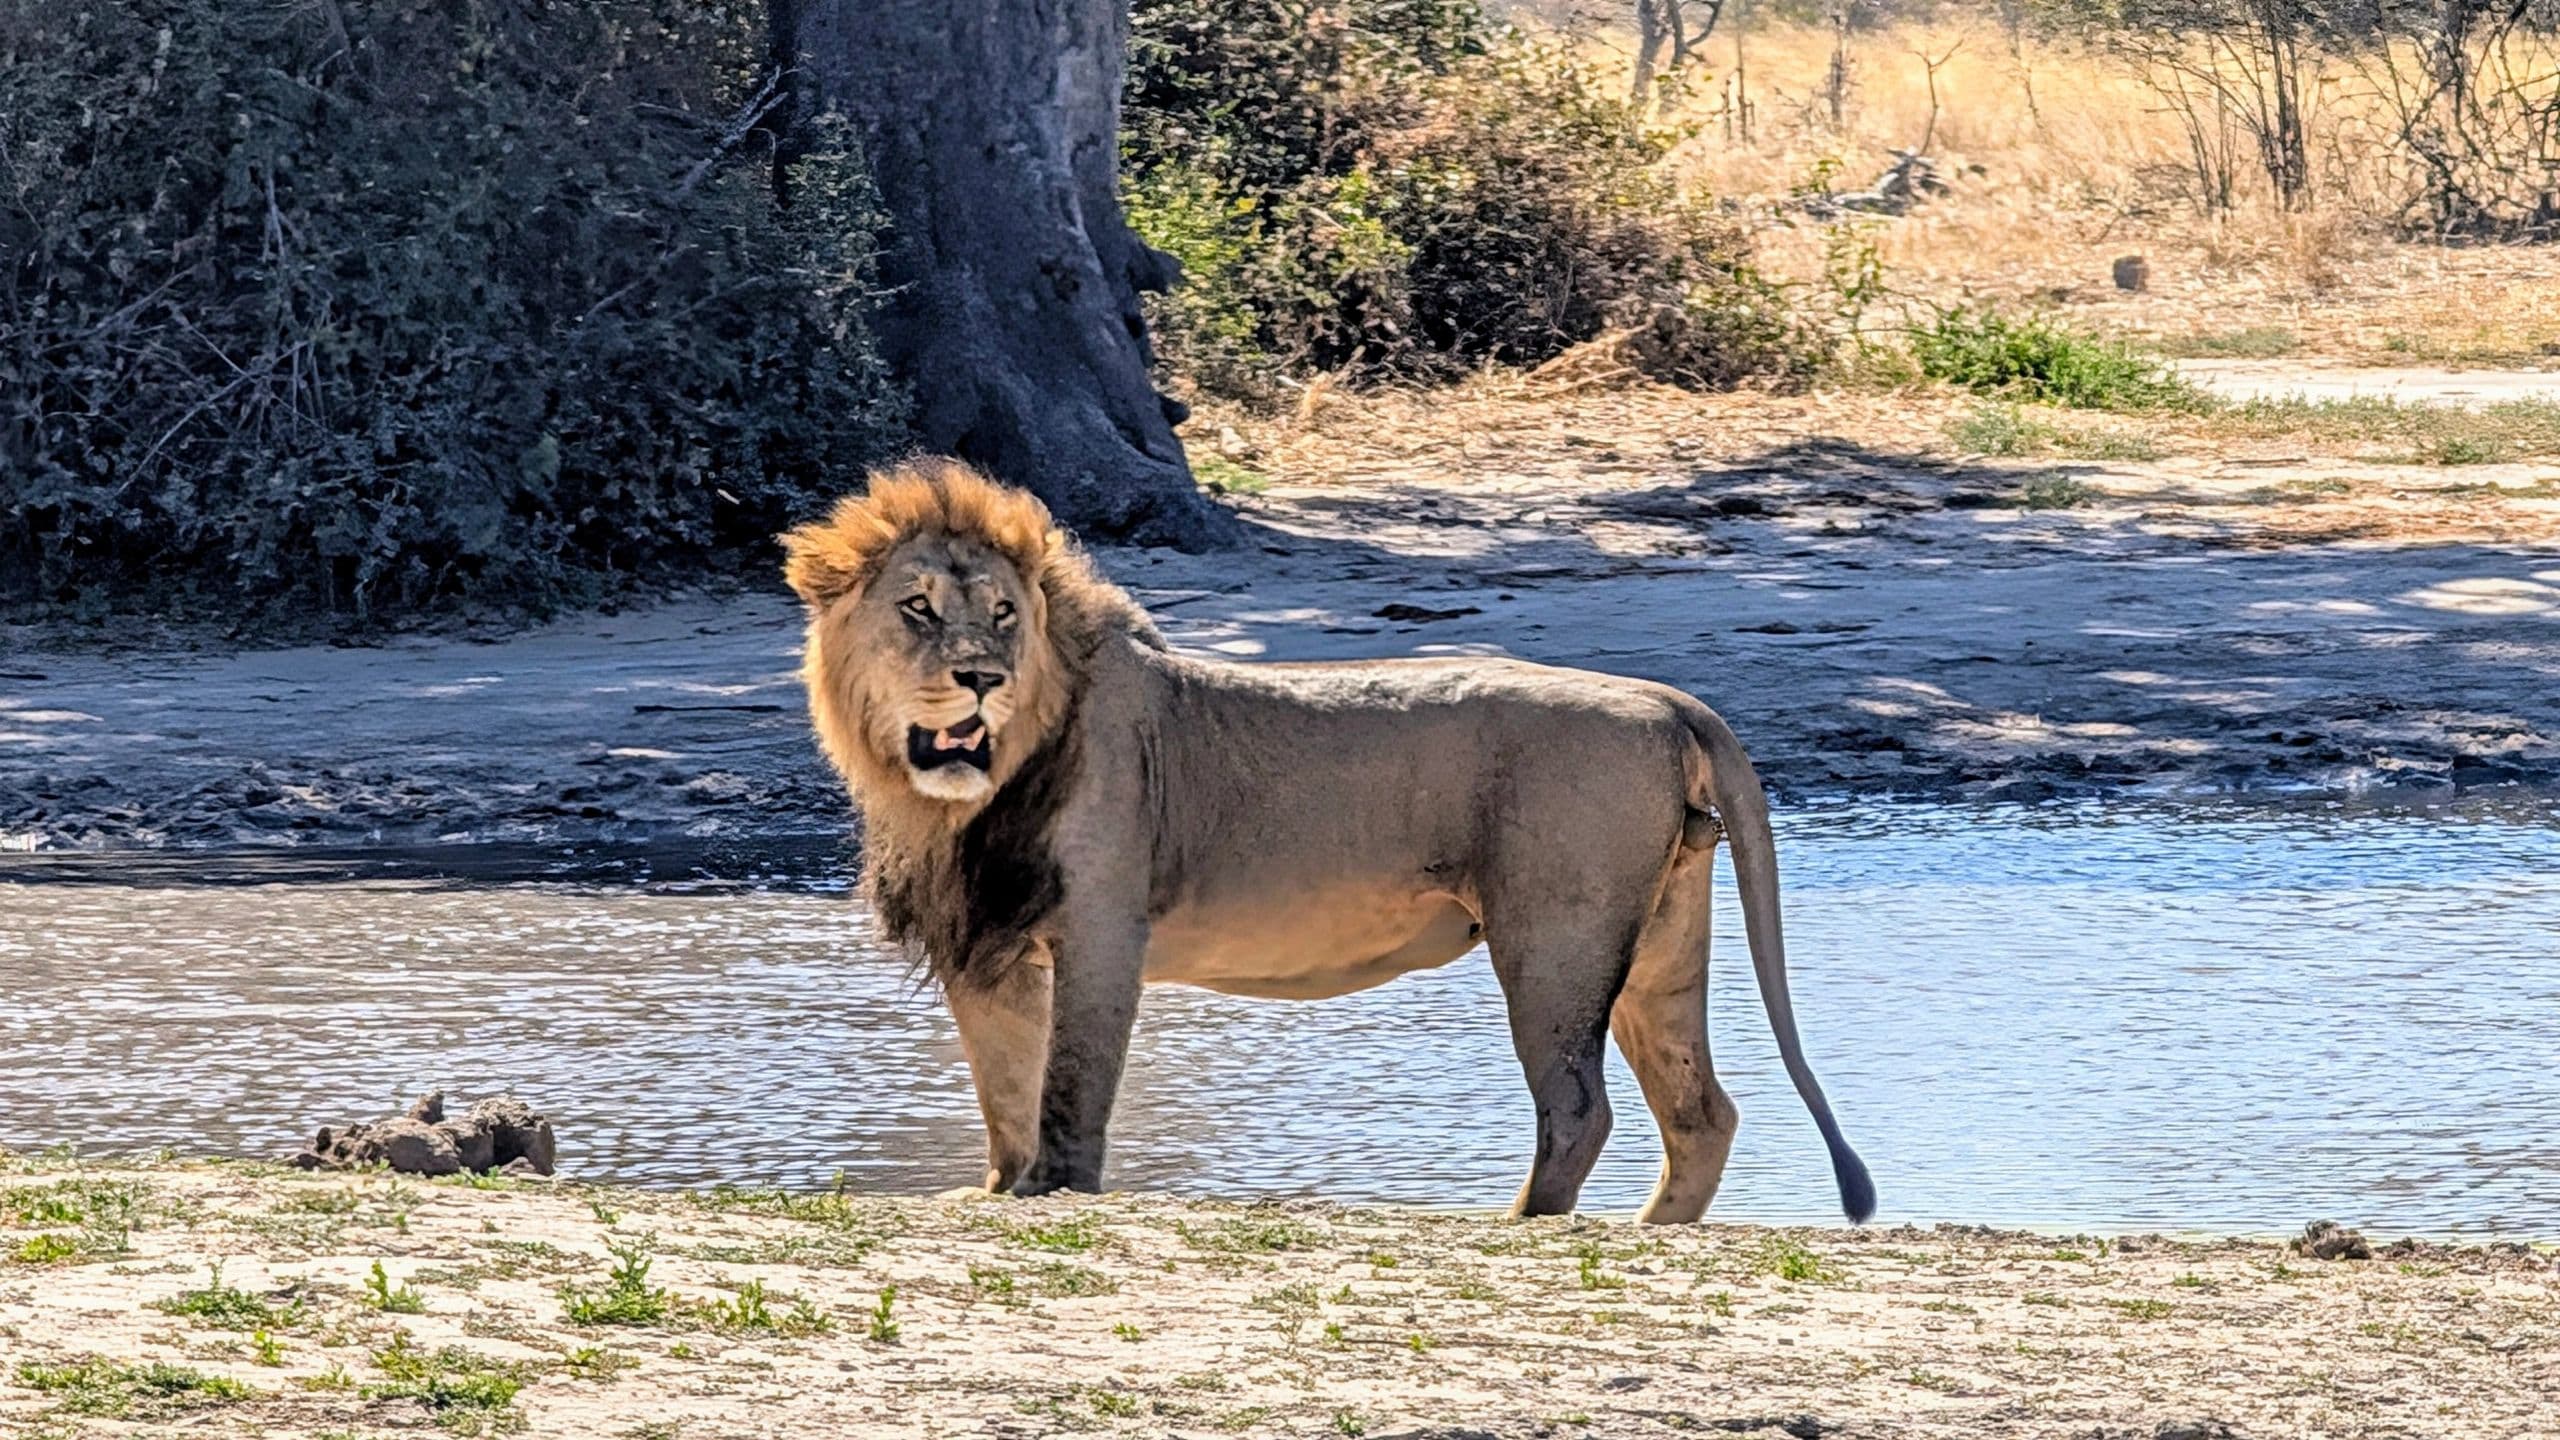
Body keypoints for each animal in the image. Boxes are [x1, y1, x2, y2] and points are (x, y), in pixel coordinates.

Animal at [782, 457, 1874, 1224]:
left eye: (1005, 615)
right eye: (918, 608)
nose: (981, 678)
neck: (957, 799)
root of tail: (1665, 698)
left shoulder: (1102, 928)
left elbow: (1069, 1086)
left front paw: (1057, 1191)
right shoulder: (989, 948)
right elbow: (1003, 1087)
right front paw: (1003, 1190)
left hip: (1555, 938)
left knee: (1578, 1106)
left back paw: (1520, 1221)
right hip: (1661, 941)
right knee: (1700, 1112)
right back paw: (1649, 1229)